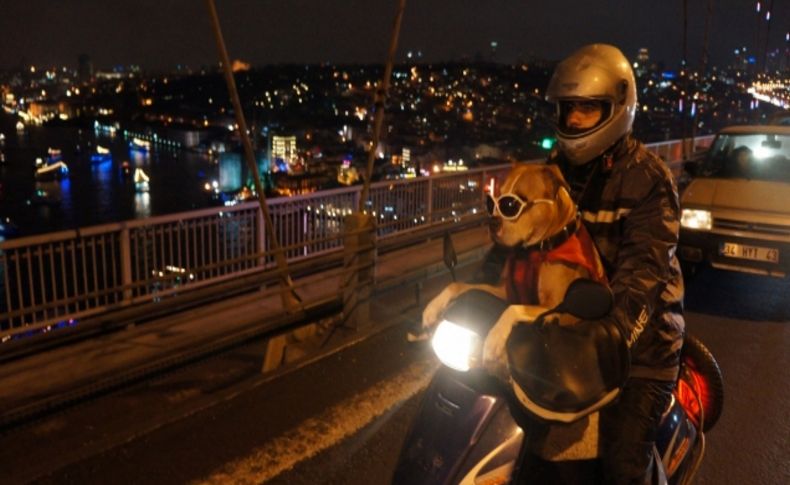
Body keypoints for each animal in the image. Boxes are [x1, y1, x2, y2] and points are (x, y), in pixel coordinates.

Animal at [424, 162, 608, 458]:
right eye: (494, 202)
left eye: (512, 204)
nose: (492, 221)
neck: (536, 250)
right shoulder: (504, 290)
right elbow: (458, 285)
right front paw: (432, 308)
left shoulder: (559, 310)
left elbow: (512, 310)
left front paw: (494, 340)